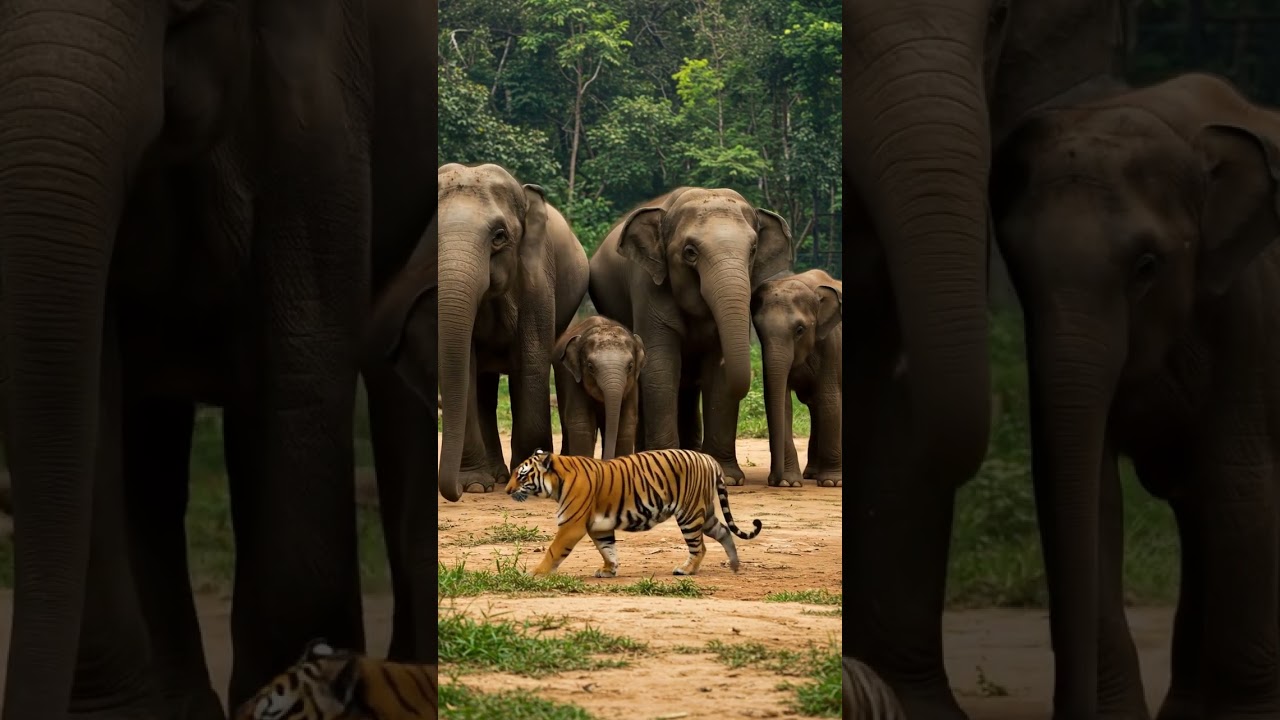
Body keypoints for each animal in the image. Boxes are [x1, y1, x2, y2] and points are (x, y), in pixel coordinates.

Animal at [436, 163, 591, 500]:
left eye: (499, 236)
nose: (454, 493)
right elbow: (466, 366)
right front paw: (475, 485)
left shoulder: (538, 277)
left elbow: (532, 358)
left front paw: (531, 475)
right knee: (484, 387)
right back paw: (492, 477)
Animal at [506, 448, 763, 577]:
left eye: (521, 475)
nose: (508, 491)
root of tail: (709, 458)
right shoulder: (600, 527)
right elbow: (607, 549)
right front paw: (609, 570)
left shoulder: (572, 525)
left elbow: (553, 551)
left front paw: (535, 573)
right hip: (704, 512)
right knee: (723, 532)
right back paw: (735, 565)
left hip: (689, 514)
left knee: (699, 546)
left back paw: (686, 570)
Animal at [553, 314, 646, 460]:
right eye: (590, 367)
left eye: (630, 366)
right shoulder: (571, 378)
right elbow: (582, 424)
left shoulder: (633, 385)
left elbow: (626, 425)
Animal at [587, 188, 794, 483]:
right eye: (690, 252)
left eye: (753, 250)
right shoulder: (647, 285)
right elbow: (661, 367)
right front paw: (666, 466)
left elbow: (716, 376)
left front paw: (727, 476)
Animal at [750, 269, 843, 488]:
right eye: (758, 330)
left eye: (800, 330)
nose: (772, 480)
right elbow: (783, 403)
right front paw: (788, 483)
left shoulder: (831, 345)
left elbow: (829, 400)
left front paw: (831, 482)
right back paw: (811, 474)